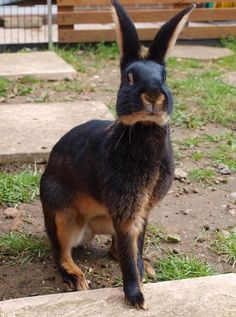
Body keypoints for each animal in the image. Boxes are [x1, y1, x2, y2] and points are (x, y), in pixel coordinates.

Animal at [40, 0, 195, 308]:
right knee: (60, 251)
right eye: (129, 78)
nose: (154, 95)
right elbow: (127, 253)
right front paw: (136, 296)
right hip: (61, 213)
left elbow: (135, 246)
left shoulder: (141, 212)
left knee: (114, 249)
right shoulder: (126, 209)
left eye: (165, 77)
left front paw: (142, 271)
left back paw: (147, 266)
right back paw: (75, 277)